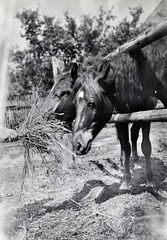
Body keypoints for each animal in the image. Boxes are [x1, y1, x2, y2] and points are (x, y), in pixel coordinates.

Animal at [71, 51, 161, 190]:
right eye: (74, 104)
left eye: (91, 103)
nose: (77, 145)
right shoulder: (121, 119)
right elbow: (126, 146)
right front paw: (125, 180)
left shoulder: (147, 117)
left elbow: (146, 146)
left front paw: (150, 181)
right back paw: (126, 161)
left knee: (134, 134)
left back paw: (135, 161)